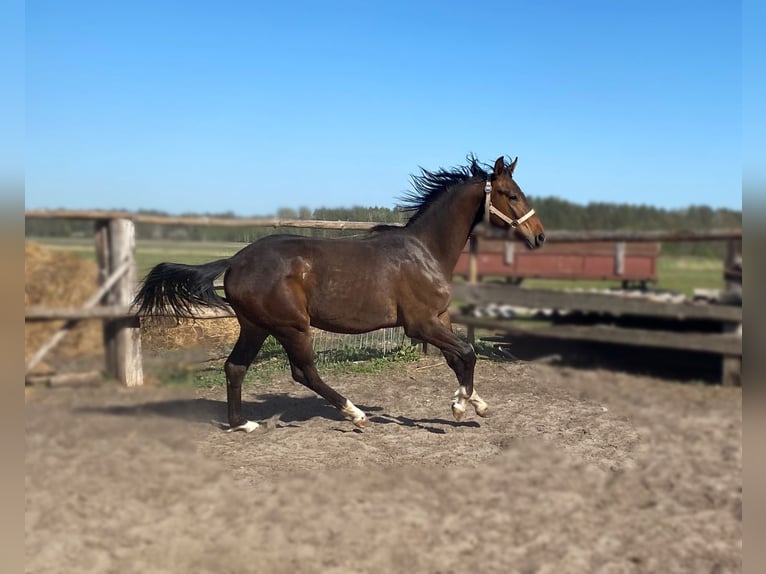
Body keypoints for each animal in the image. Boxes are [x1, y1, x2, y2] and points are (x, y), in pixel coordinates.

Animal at [133, 155, 546, 432]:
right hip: (292, 326)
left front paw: (473, 403)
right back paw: (354, 413)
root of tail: (235, 260)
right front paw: (463, 407)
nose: (539, 237)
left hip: (255, 325)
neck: (425, 250)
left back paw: (242, 424)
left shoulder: (439, 319)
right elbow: (467, 353)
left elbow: (458, 358)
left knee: (235, 367)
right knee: (304, 372)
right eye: (509, 194)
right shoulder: (421, 324)